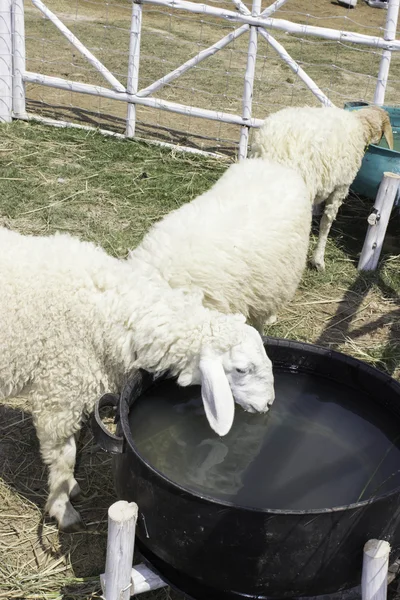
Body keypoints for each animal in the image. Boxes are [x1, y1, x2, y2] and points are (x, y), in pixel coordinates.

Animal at [0, 227, 276, 532]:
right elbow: (64, 458)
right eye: (241, 369)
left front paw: (70, 489)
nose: (268, 403)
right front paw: (63, 509)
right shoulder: (58, 391)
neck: (116, 312)